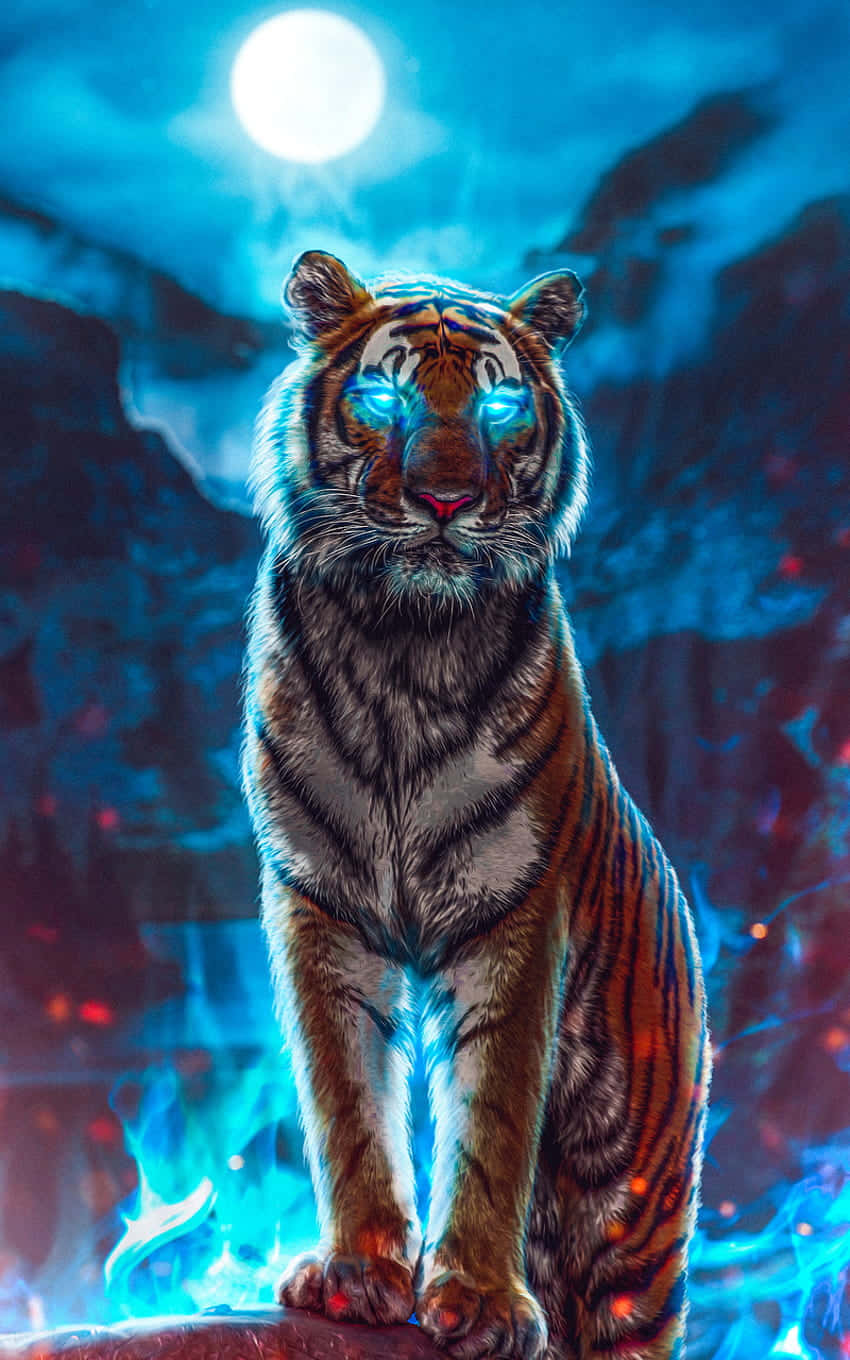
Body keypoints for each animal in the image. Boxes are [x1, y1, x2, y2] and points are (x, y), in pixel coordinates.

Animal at [241, 250, 710, 1360]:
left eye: (499, 403)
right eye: (384, 398)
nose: (445, 498)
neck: (404, 645)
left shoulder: (515, 908)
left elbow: (492, 1114)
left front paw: (482, 1305)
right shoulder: (319, 904)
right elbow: (346, 1104)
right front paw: (356, 1276)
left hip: (636, 1214)